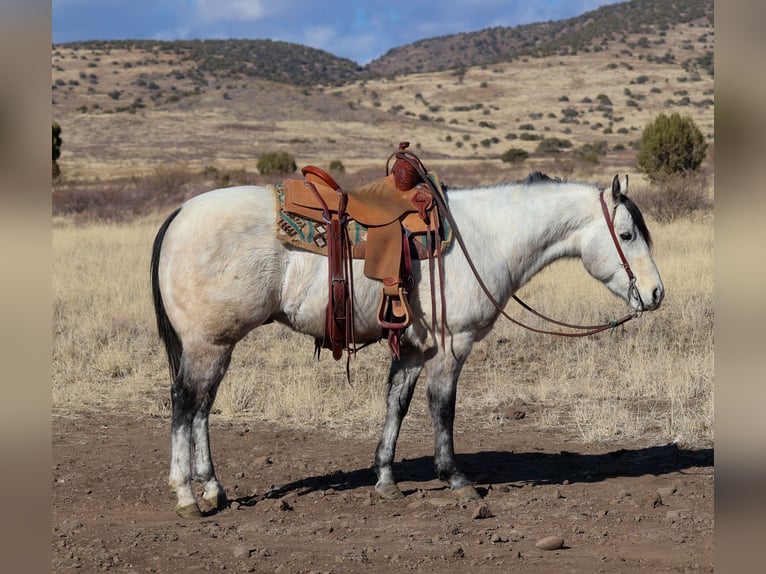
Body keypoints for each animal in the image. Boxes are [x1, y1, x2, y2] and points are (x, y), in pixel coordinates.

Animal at [152, 170, 664, 516]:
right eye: (626, 234)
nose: (656, 293)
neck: (488, 238)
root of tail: (178, 214)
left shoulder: (416, 348)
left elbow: (396, 404)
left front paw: (385, 478)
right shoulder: (453, 344)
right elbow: (443, 408)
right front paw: (455, 478)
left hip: (216, 346)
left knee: (202, 408)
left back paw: (213, 490)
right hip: (208, 343)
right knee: (185, 403)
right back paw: (186, 495)